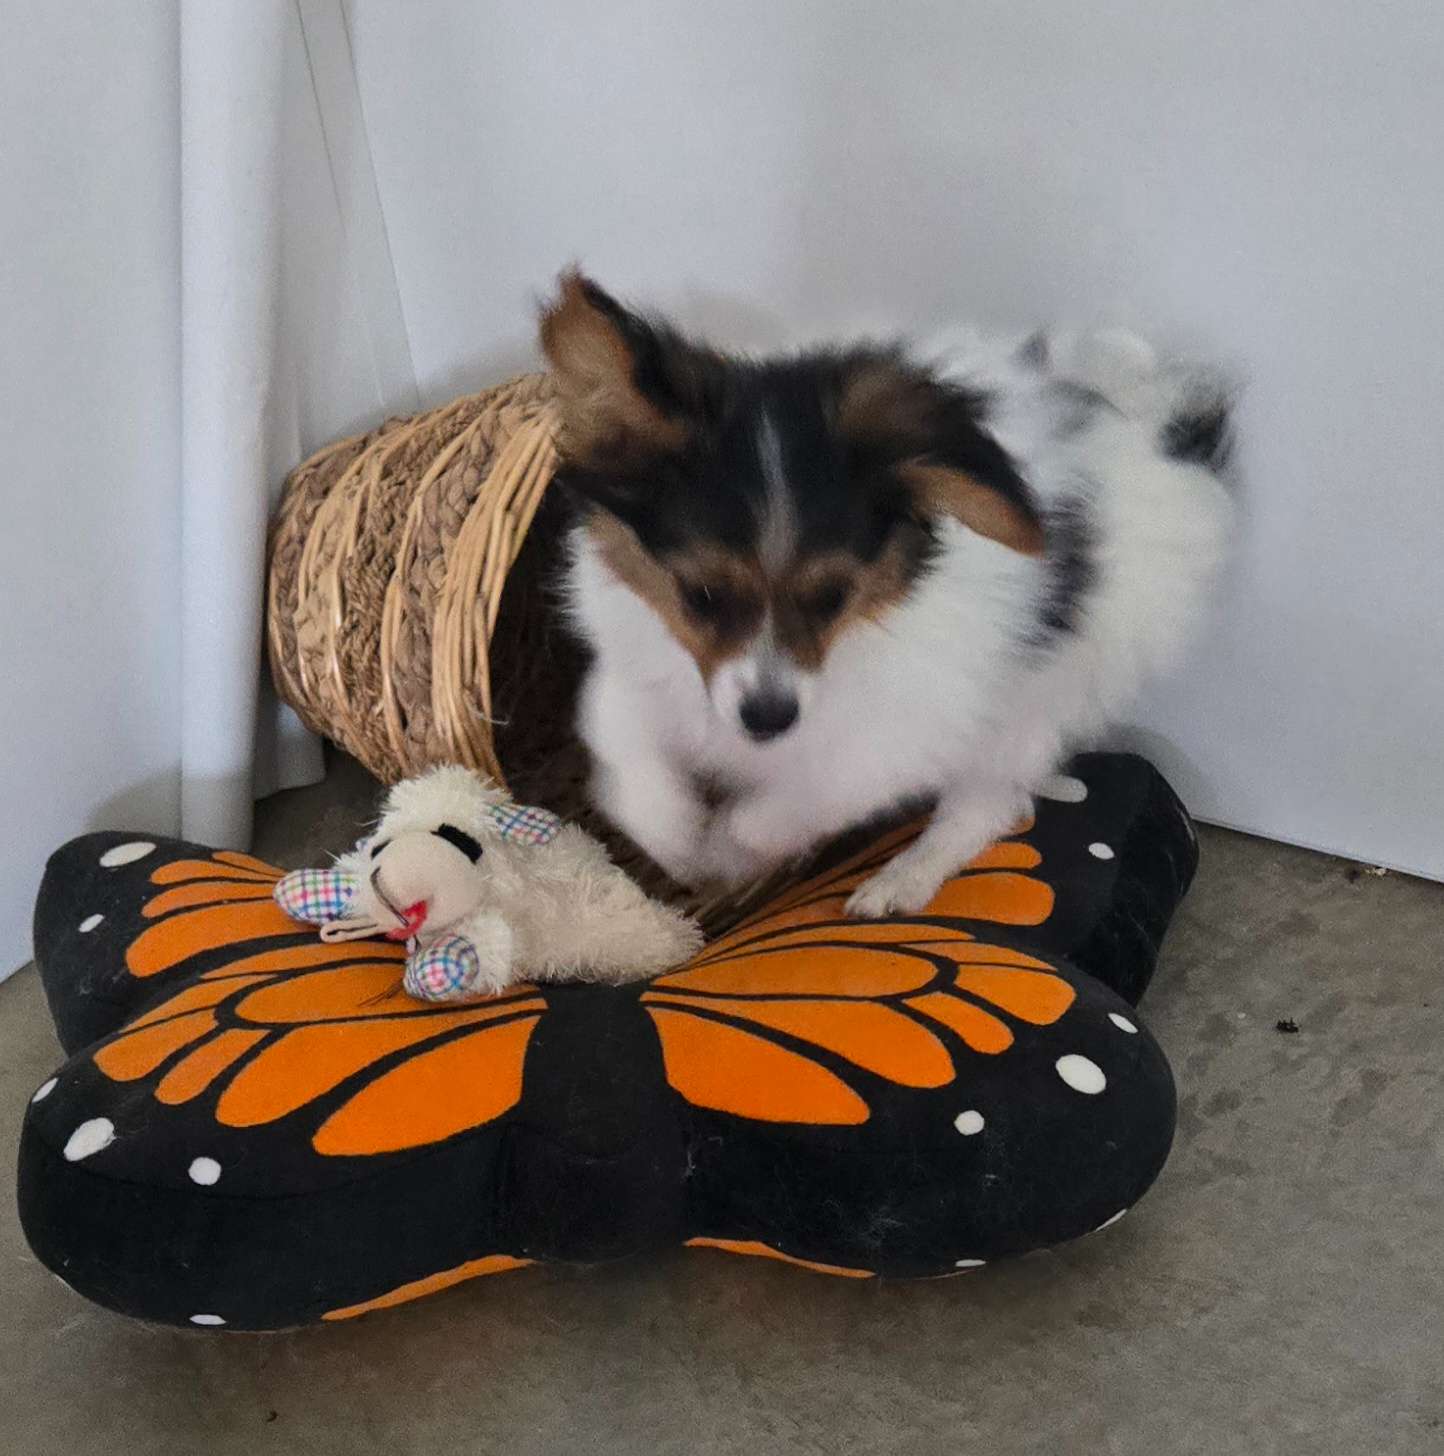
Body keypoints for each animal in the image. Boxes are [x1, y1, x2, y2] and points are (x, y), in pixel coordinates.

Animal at [541, 271, 1233, 916]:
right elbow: (622, 750)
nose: (768, 719)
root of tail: (1159, 425)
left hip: (1047, 689)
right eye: (703, 595)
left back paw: (903, 878)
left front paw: (725, 851)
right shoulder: (638, 669)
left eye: (833, 597)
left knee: (990, 799)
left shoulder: (899, 736)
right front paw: (678, 837)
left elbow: (788, 805)